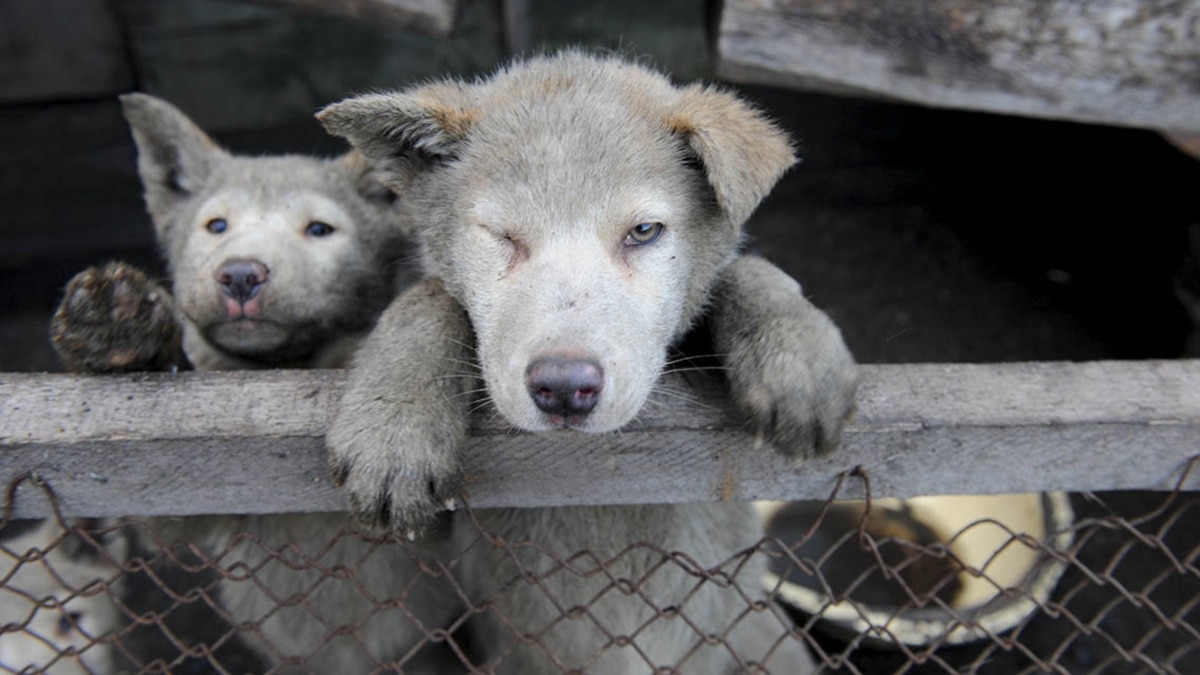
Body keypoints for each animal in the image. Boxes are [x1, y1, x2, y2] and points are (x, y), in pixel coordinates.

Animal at [50, 91, 458, 667]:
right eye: (217, 226)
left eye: (319, 230)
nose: (241, 274)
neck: (286, 363)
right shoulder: (176, 510)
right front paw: (119, 330)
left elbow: (437, 292)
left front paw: (400, 426)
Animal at [319, 49, 859, 667]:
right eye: (501, 235)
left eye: (644, 231)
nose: (562, 387)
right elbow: (431, 295)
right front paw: (396, 425)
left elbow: (739, 271)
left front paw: (797, 355)